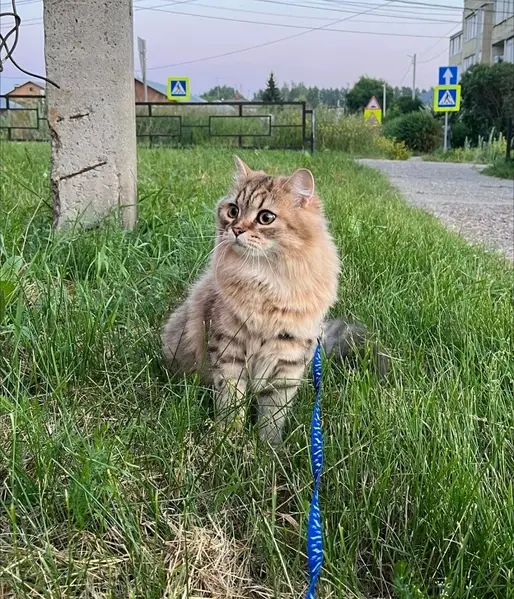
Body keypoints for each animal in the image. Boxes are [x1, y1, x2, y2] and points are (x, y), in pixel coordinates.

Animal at [161, 156, 387, 445]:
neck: (267, 283)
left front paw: (269, 447)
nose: (235, 229)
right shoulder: (229, 350)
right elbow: (230, 400)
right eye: (233, 210)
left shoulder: (288, 359)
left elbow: (273, 413)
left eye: (265, 217)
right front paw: (230, 437)